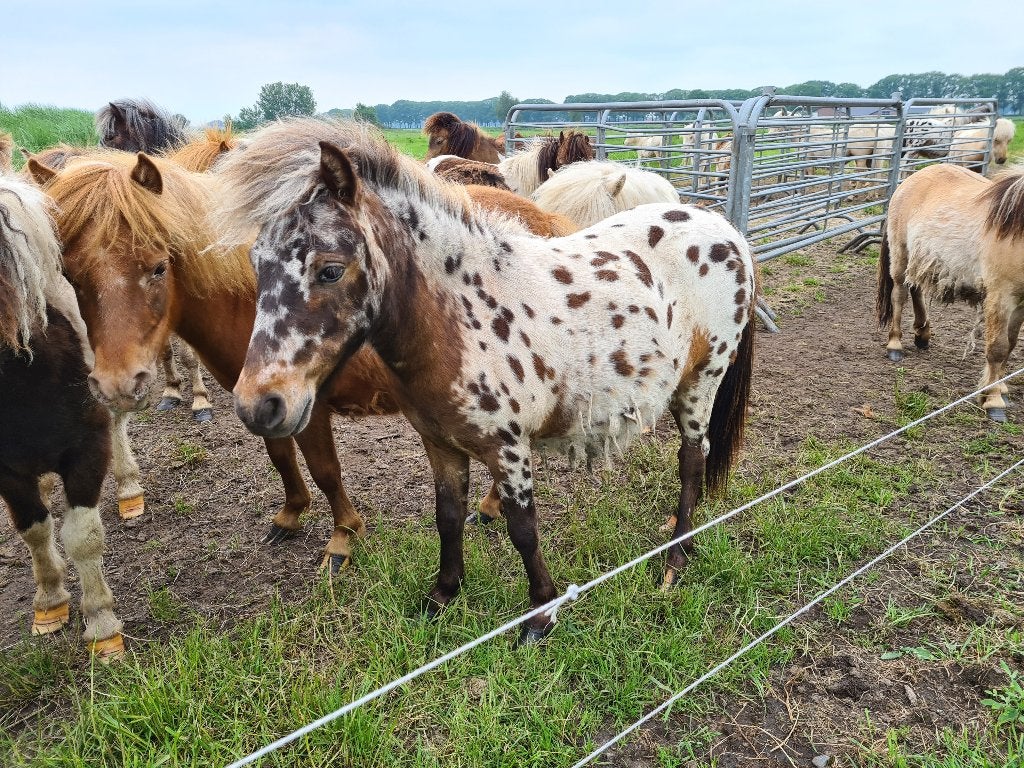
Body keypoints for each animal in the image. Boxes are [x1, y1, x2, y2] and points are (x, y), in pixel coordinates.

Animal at [0, 171, 124, 659]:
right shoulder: (7, 473)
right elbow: (34, 529)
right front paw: (50, 600)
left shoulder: (88, 446)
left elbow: (82, 536)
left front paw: (102, 623)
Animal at [877, 162, 1024, 422]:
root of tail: (913, 178)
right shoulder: (1001, 296)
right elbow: (998, 348)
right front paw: (993, 400)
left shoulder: (1021, 301)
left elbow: (1011, 345)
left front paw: (999, 388)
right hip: (900, 255)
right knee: (899, 295)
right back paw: (895, 345)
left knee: (916, 289)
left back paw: (923, 334)